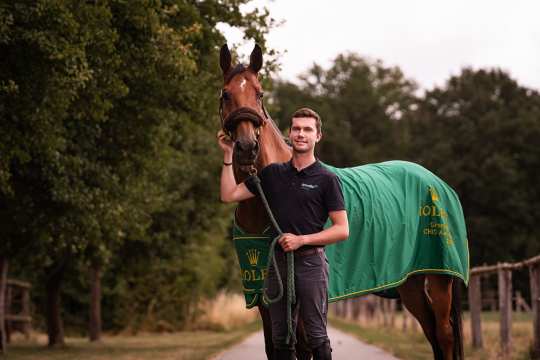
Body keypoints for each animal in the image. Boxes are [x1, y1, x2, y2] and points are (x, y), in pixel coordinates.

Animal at [218, 43, 464, 360]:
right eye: (226, 94)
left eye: (259, 93)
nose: (247, 148)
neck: (260, 204)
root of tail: (440, 185)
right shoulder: (265, 298)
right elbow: (275, 348)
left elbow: (307, 347)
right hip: (410, 283)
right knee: (432, 332)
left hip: (439, 279)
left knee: (444, 336)